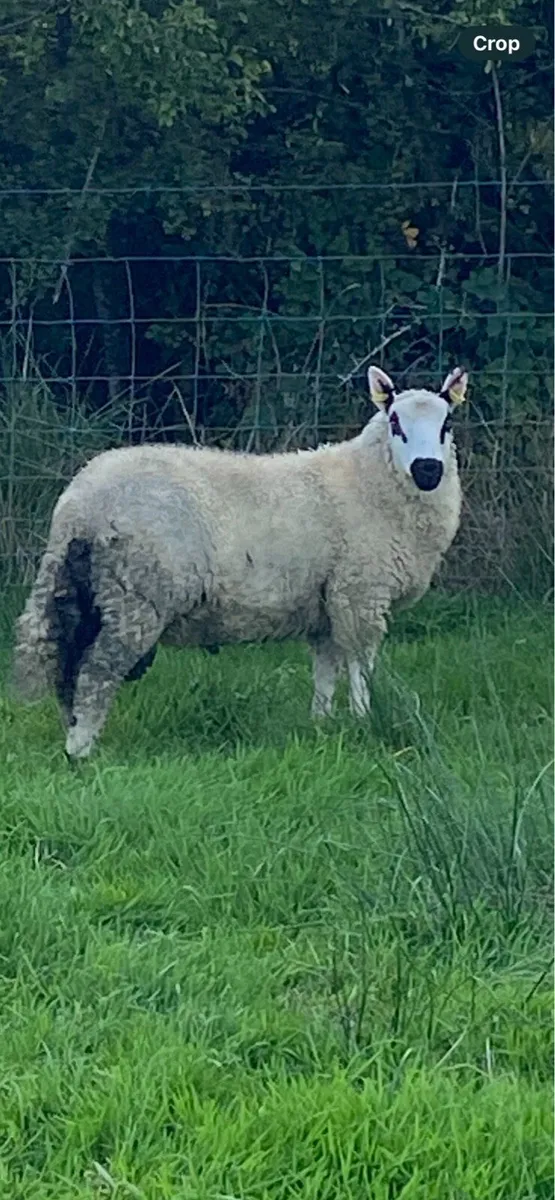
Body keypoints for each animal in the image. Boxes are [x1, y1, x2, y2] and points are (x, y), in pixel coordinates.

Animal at [10, 363, 468, 758]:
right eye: (395, 423)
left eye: (446, 425)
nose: (428, 470)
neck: (369, 479)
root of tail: (79, 503)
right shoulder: (361, 592)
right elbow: (361, 665)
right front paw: (363, 720)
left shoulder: (327, 602)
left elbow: (326, 668)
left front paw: (321, 724)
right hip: (135, 594)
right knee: (97, 670)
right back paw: (81, 750)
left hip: (80, 589)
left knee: (66, 665)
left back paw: (72, 731)